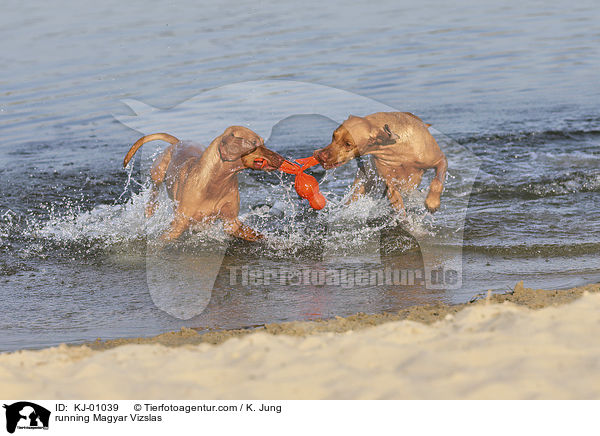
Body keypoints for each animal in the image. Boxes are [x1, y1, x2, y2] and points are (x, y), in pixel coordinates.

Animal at [123, 126, 284, 242]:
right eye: (254, 144)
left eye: (263, 143)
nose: (281, 159)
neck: (216, 182)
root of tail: (178, 142)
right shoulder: (177, 225)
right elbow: (162, 240)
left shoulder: (231, 222)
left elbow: (258, 236)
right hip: (157, 173)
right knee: (154, 192)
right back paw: (150, 210)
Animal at [314, 112, 446, 213]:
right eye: (333, 136)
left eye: (348, 144)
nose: (320, 155)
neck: (399, 151)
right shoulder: (390, 184)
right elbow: (399, 207)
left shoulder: (441, 160)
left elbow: (437, 182)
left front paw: (432, 202)